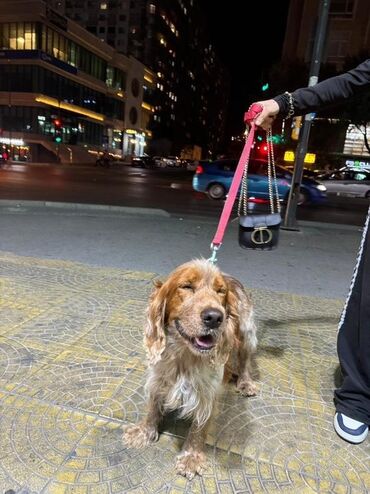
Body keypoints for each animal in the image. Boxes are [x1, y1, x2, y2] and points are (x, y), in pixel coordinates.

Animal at [123, 258, 256, 478]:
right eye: (186, 286)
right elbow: (152, 408)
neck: (185, 356)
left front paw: (191, 457)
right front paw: (144, 432)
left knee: (245, 360)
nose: (215, 317)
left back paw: (245, 382)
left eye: (220, 291)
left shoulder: (207, 393)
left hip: (247, 332)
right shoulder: (158, 379)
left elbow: (199, 427)